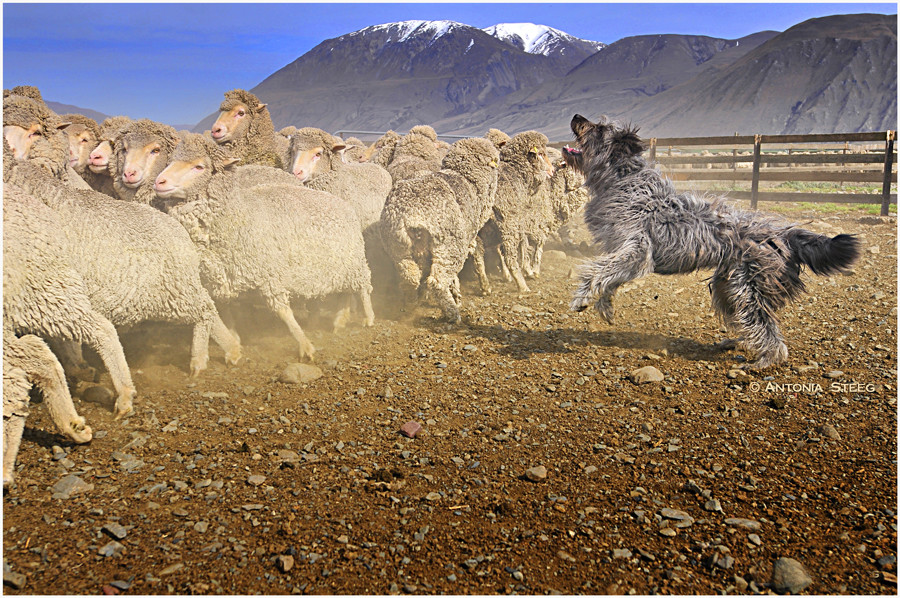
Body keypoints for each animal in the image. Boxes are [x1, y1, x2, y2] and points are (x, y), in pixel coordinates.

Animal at [155, 134, 372, 364]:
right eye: (171, 160)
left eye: (199, 166)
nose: (158, 182)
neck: (238, 215)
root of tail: (342, 202)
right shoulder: (221, 278)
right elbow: (226, 311)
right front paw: (234, 345)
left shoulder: (270, 273)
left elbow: (284, 312)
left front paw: (305, 345)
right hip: (341, 265)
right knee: (347, 292)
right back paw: (340, 319)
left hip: (355, 261)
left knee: (362, 287)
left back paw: (368, 317)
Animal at [378, 137, 502, 324]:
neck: (468, 181)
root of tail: (411, 215)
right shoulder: (466, 236)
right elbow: (476, 256)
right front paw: (470, 292)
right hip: (448, 245)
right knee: (437, 281)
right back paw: (452, 313)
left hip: (398, 245)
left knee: (410, 277)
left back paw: (411, 306)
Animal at [568, 114, 860, 368]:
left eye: (599, 129)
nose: (576, 116)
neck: (624, 180)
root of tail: (783, 235)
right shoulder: (624, 252)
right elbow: (610, 279)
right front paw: (604, 306)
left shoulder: (638, 250)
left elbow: (598, 271)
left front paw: (582, 297)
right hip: (727, 286)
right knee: (751, 323)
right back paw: (740, 343)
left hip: (748, 289)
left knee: (767, 330)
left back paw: (765, 360)